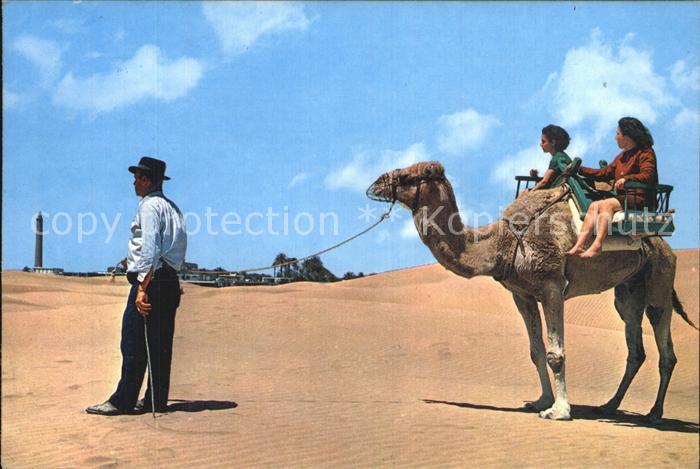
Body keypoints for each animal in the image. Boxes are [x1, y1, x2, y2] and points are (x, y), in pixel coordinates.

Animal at [367, 161, 697, 422]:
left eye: (410, 176)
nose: (374, 185)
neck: (502, 242)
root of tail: (667, 248)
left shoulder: (551, 286)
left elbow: (555, 354)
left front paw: (560, 411)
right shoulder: (521, 293)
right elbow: (536, 351)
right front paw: (542, 401)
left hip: (659, 281)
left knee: (664, 347)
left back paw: (654, 413)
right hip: (628, 291)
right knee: (635, 348)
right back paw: (609, 406)